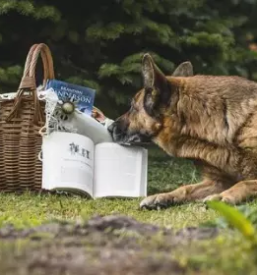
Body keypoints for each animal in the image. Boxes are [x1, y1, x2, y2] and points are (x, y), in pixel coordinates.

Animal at [107, 53, 257, 209]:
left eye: (132, 108)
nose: (109, 128)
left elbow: (245, 183)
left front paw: (223, 196)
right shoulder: (219, 182)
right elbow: (186, 188)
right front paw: (161, 196)